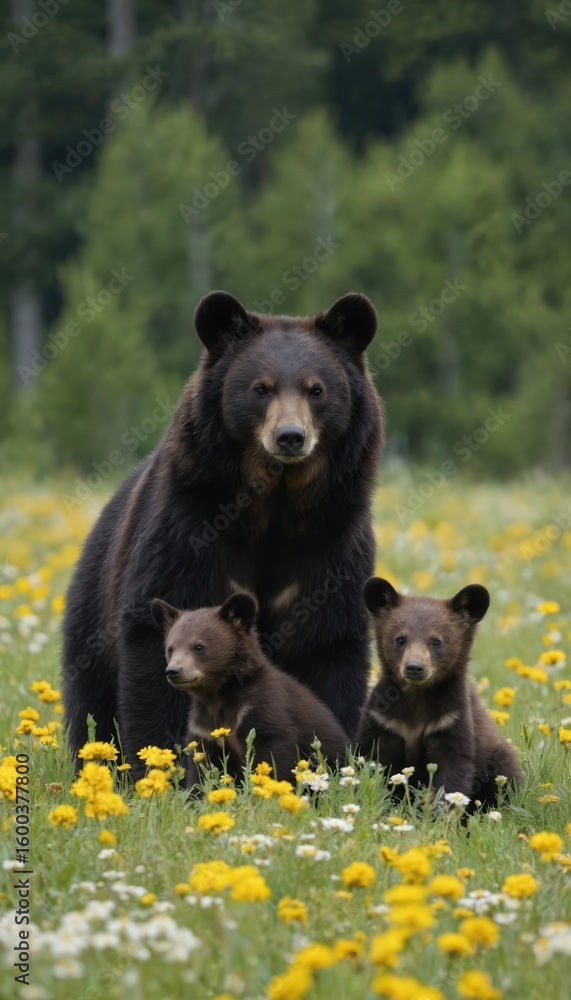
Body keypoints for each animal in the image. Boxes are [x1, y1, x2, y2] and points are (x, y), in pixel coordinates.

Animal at [150, 591, 350, 785]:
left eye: (198, 647)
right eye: (170, 648)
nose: (173, 671)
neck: (219, 695)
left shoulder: (260, 709)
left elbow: (275, 754)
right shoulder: (205, 727)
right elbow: (201, 766)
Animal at [356, 577, 524, 807]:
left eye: (436, 641)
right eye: (400, 639)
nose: (414, 667)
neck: (417, 696)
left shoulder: (451, 720)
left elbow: (454, 769)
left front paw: (443, 811)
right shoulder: (384, 720)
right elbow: (374, 759)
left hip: (498, 759)